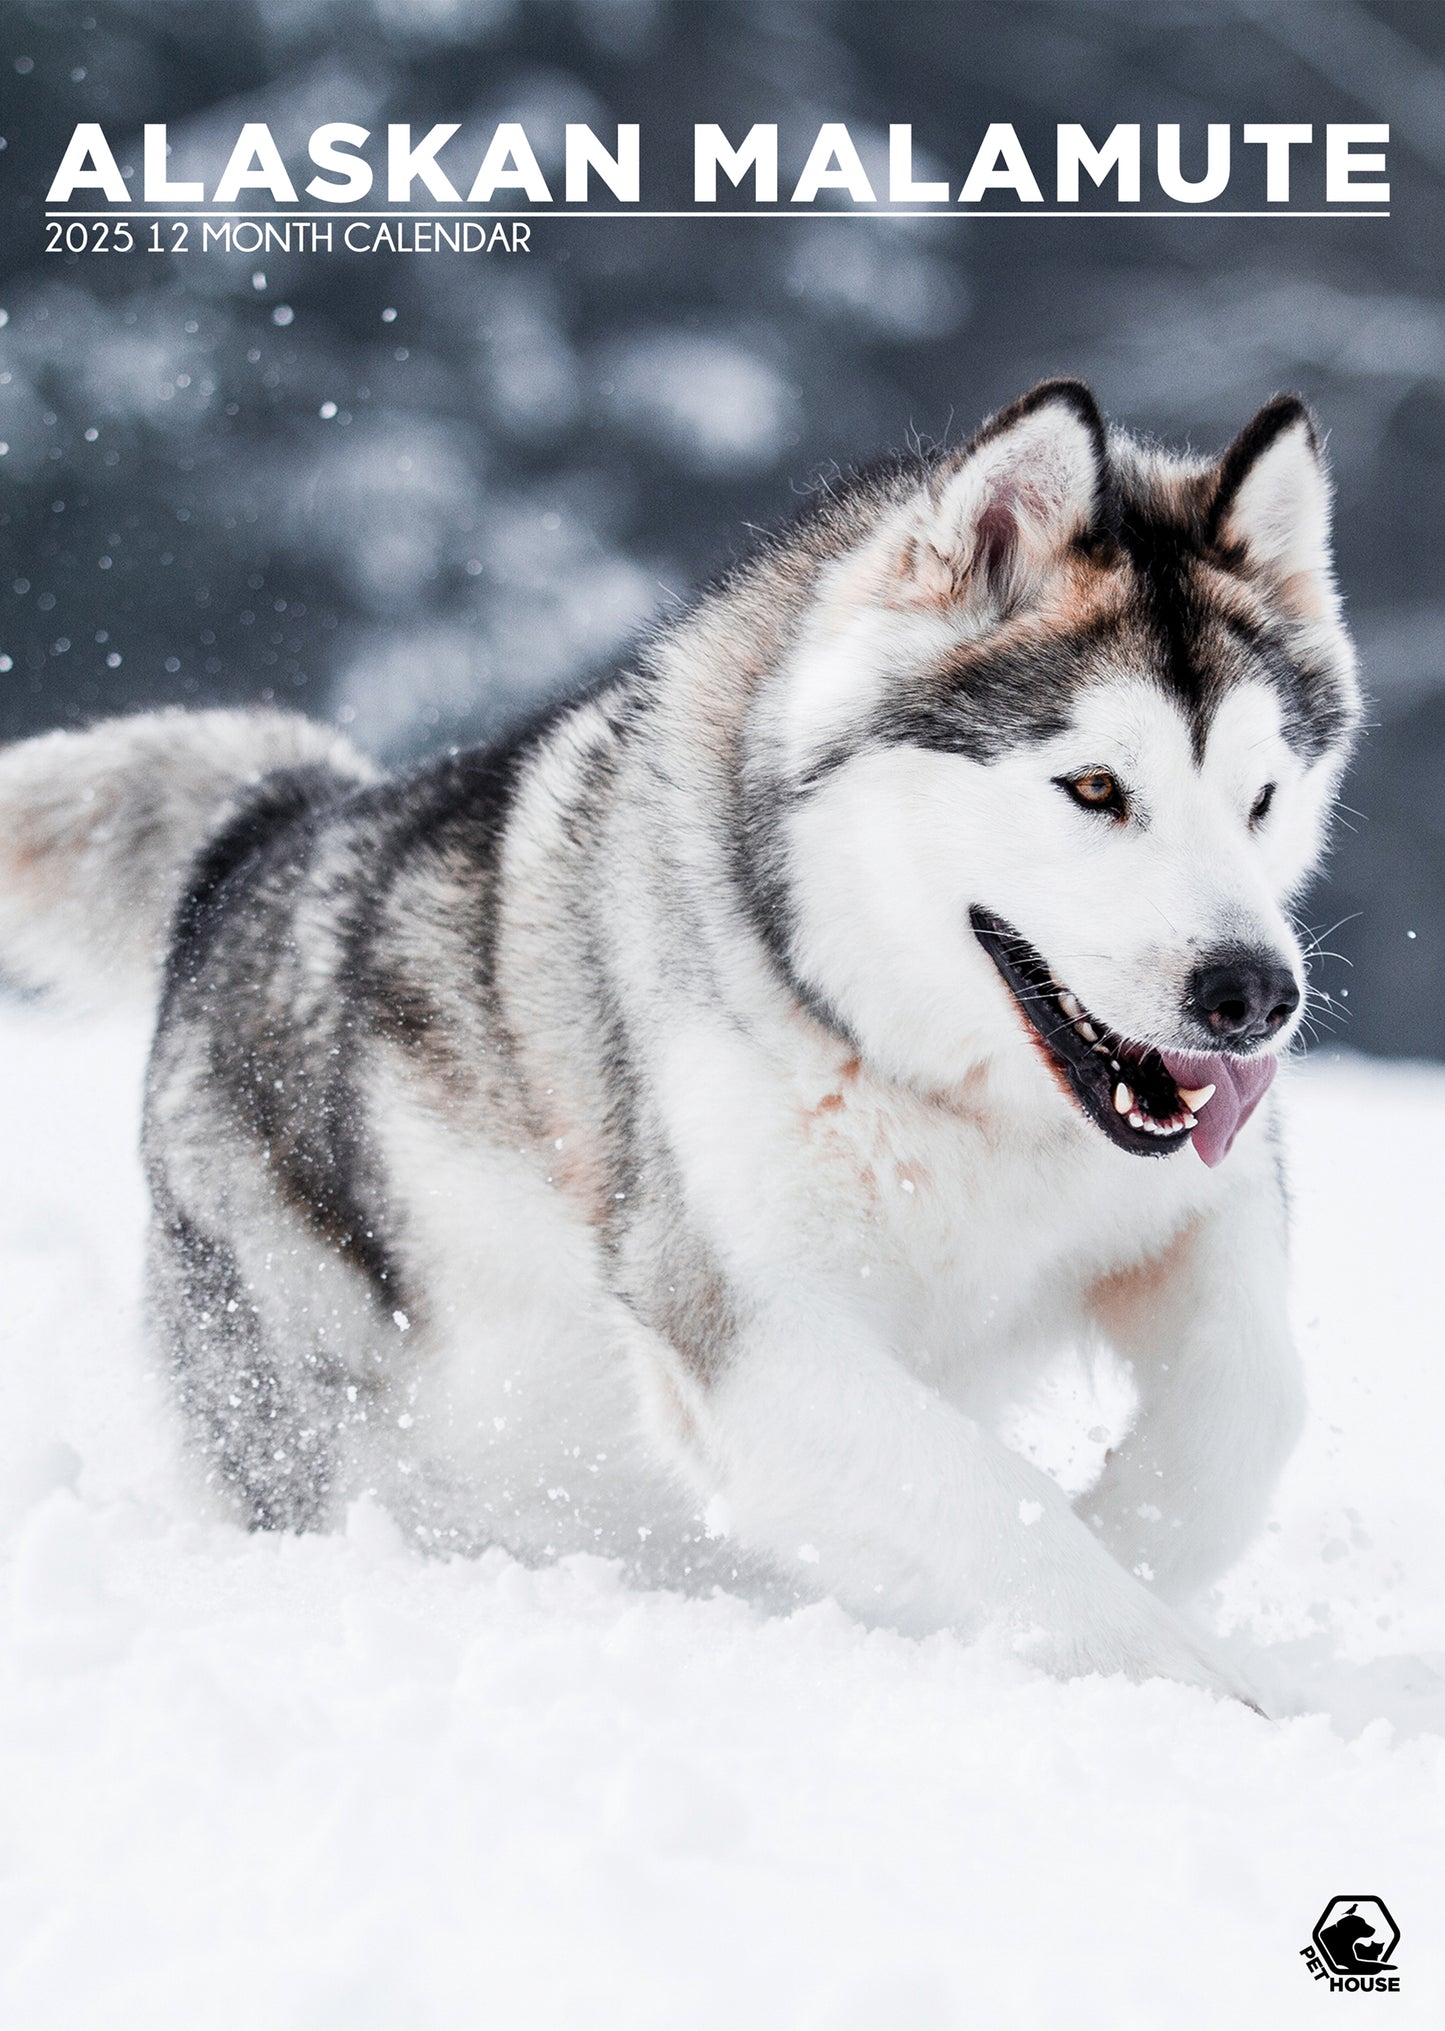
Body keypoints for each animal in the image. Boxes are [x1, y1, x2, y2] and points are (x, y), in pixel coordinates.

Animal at [0, 381, 1365, 1697]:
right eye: (1092, 788)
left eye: (1259, 797)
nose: (1253, 996)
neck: (926, 1085)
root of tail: (273, 824)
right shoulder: (752, 1335)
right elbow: (997, 1505)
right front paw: (1183, 1675)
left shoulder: (1191, 1209)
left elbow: (1253, 1413)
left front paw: (1130, 1540)